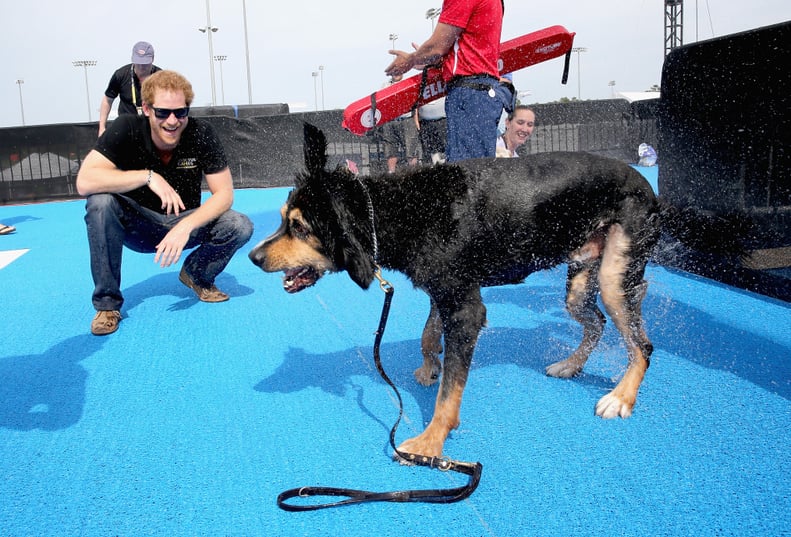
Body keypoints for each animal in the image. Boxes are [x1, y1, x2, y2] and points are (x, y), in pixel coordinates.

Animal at [249, 123, 744, 458]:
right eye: (283, 220)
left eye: (298, 227)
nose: (253, 257)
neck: (398, 210)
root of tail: (649, 186)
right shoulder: (446, 291)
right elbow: (430, 335)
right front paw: (429, 366)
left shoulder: (464, 307)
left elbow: (450, 393)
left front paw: (431, 442)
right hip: (581, 277)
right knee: (598, 322)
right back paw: (571, 365)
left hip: (614, 275)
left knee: (642, 344)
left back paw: (621, 397)